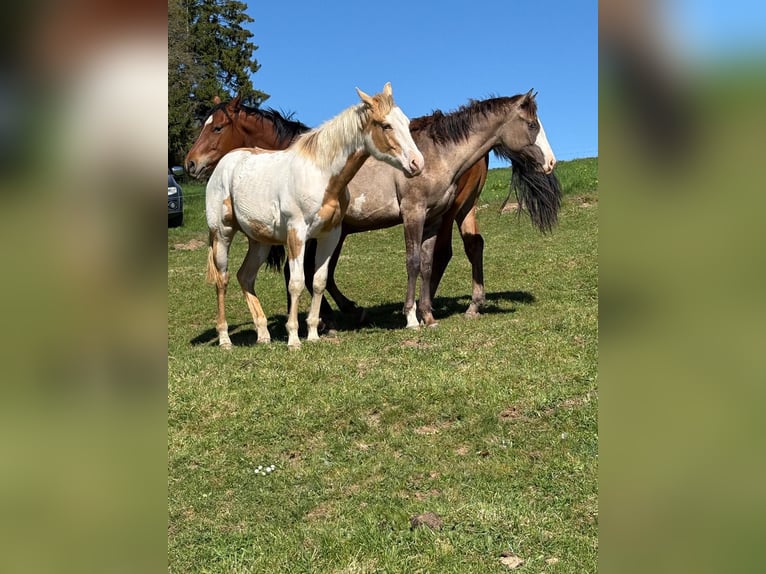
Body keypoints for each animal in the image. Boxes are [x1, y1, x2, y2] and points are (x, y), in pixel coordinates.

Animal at [205, 83, 424, 348]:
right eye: (385, 125)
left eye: (406, 122)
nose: (417, 163)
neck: (321, 174)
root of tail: (224, 163)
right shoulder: (296, 234)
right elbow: (296, 282)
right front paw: (293, 339)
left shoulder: (329, 235)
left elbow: (319, 281)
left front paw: (312, 333)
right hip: (222, 234)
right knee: (222, 279)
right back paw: (225, 338)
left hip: (259, 241)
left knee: (245, 276)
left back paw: (263, 335)